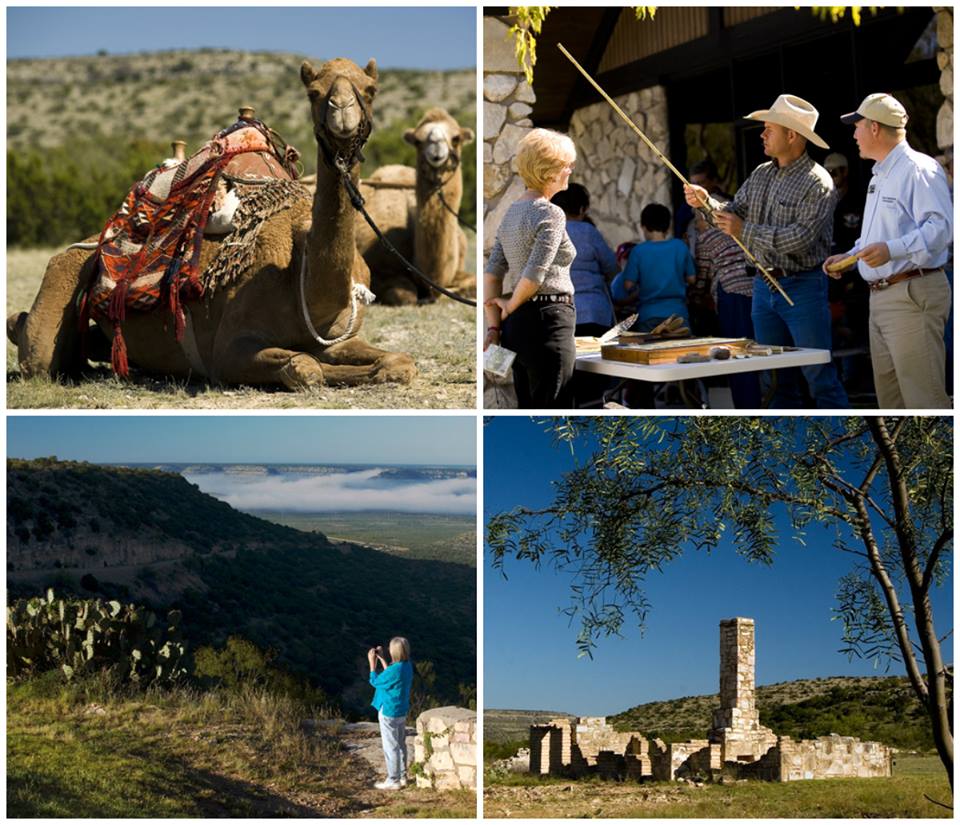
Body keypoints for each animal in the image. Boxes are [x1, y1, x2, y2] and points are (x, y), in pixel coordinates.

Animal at [6, 58, 416, 390]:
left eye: (370, 90)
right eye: (314, 92)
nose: (342, 112)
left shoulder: (340, 336)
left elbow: (399, 362)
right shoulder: (229, 348)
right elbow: (305, 366)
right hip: (66, 272)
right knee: (42, 355)